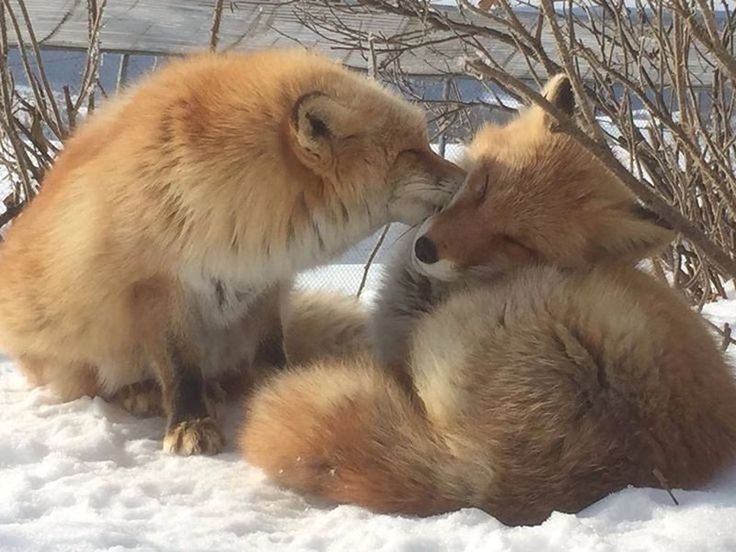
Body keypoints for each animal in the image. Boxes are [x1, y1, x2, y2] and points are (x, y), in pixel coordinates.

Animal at [0, 48, 462, 452]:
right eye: (412, 151)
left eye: (425, 143)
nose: (468, 178)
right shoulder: (158, 284)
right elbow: (180, 367)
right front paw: (190, 423)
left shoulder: (267, 280)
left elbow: (272, 350)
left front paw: (290, 393)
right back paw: (142, 390)